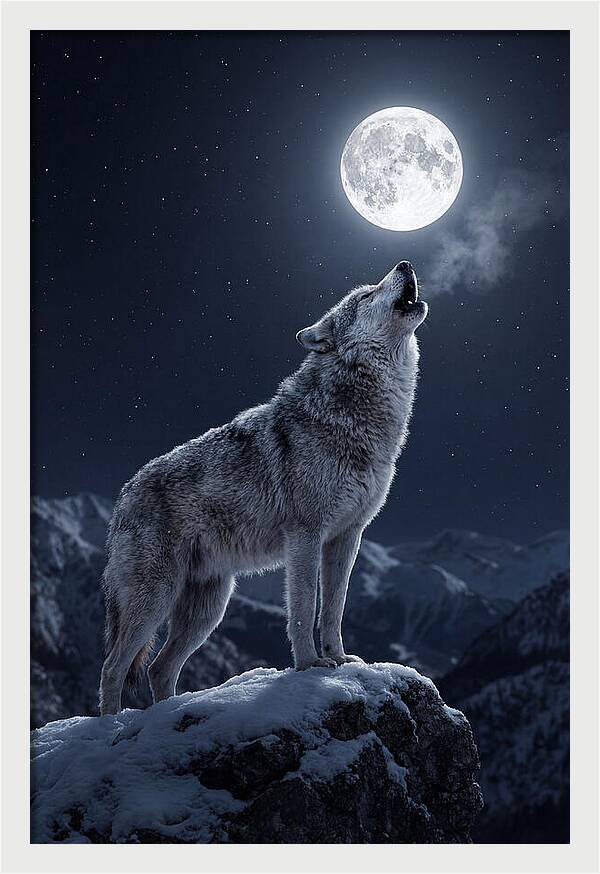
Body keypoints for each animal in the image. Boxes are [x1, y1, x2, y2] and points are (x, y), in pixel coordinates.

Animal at [99, 261, 427, 714]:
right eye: (365, 295)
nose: (405, 264)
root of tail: (123, 495)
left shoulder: (347, 537)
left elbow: (334, 609)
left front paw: (340, 659)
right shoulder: (305, 535)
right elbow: (305, 607)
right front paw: (310, 666)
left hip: (208, 609)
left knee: (158, 668)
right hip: (155, 600)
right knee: (113, 667)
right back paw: (109, 726)